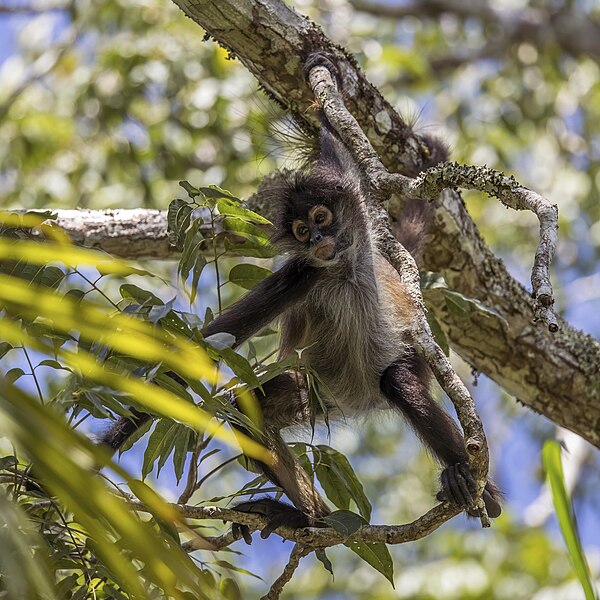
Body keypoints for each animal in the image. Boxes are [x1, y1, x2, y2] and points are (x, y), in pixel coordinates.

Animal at [103, 52, 502, 540]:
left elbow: (336, 150)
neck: (342, 269)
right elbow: (204, 349)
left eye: (320, 217)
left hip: (390, 368)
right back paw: (313, 519)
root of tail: (357, 398)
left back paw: (473, 485)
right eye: (298, 230)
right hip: (319, 391)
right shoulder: (302, 275)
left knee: (398, 381)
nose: (314, 238)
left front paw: (321, 70)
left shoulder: (349, 204)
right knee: (248, 406)